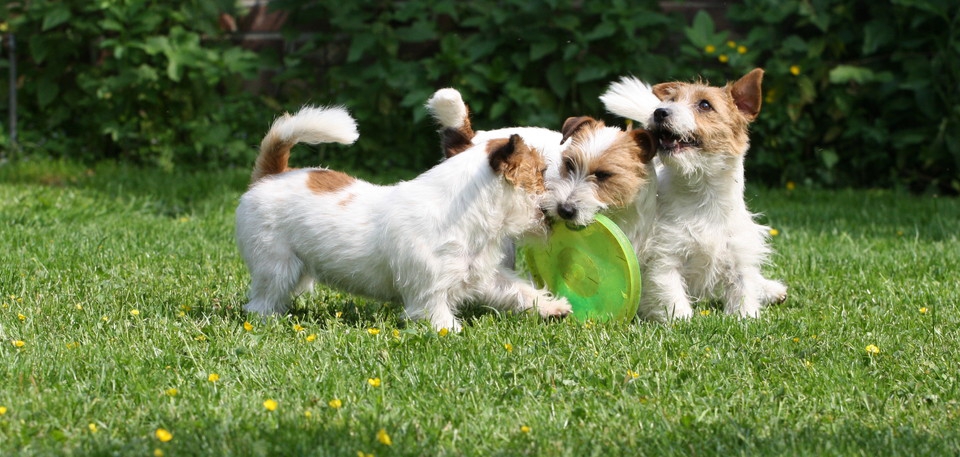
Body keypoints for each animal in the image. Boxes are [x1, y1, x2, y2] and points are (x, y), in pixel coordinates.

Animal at [237, 105, 572, 330]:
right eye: (542, 173)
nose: (563, 207)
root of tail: (272, 173)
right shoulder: (429, 293)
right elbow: (438, 316)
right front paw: (453, 333)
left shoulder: (485, 277)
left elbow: (518, 290)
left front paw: (551, 307)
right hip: (275, 267)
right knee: (262, 299)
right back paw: (266, 319)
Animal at [600, 68, 788, 320]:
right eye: (671, 100)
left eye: (705, 105)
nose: (659, 111)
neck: (702, 194)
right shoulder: (665, 257)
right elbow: (671, 293)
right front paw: (681, 320)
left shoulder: (738, 254)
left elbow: (743, 287)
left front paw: (745, 316)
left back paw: (770, 289)